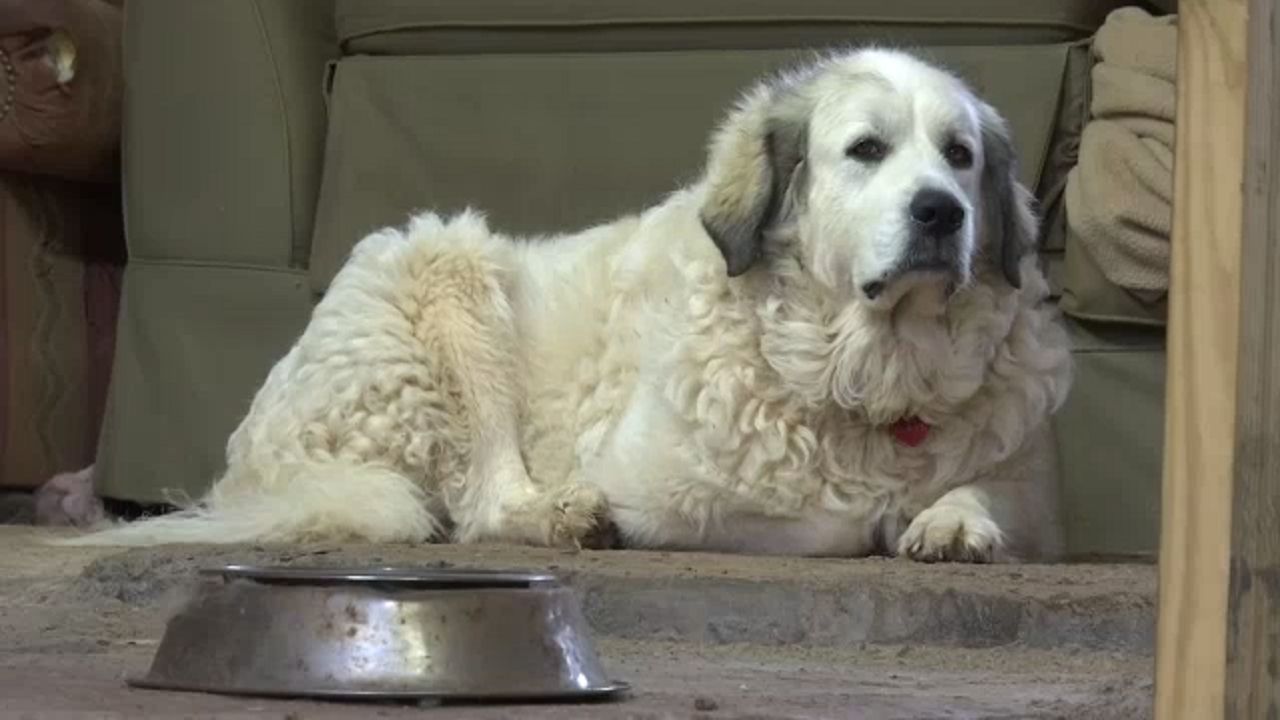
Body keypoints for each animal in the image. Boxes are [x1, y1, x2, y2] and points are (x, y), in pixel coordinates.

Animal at [64, 47, 1075, 561]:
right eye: (867, 150)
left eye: (960, 156)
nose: (941, 213)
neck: (869, 373)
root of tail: (259, 459)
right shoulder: (663, 489)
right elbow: (820, 519)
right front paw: (885, 517)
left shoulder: (1033, 489)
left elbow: (991, 488)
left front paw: (950, 516)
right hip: (448, 263)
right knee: (479, 503)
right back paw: (559, 515)